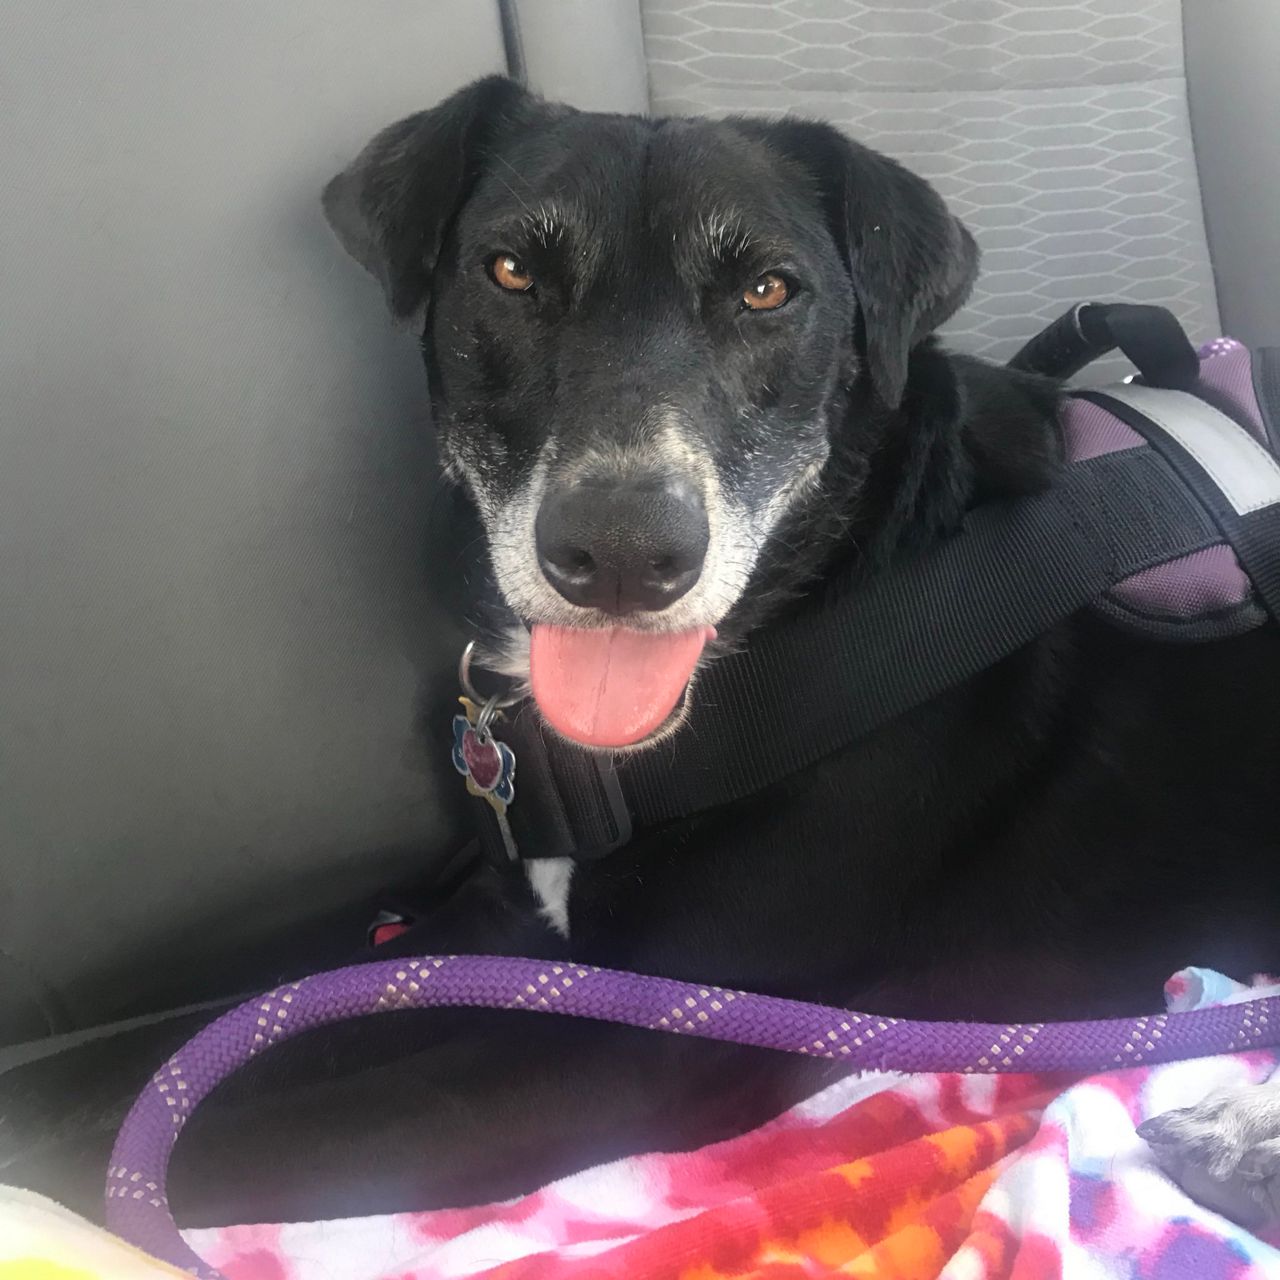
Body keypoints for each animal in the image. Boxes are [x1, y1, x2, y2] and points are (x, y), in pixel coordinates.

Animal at [7, 77, 1280, 1228]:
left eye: (767, 289)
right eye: (510, 273)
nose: (621, 553)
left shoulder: (647, 1041)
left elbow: (188, 1133)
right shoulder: (488, 936)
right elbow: (181, 1047)